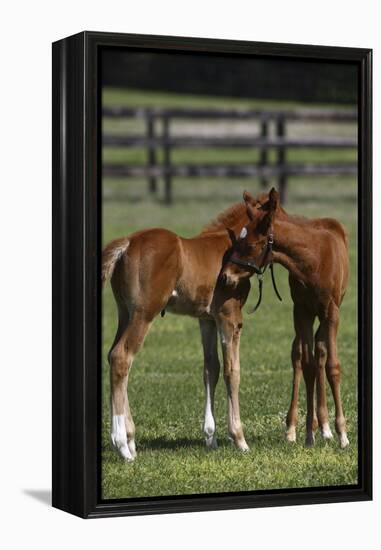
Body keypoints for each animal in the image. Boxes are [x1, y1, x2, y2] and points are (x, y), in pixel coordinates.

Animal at [102, 203, 255, 462]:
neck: (227, 245)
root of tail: (128, 243)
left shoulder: (206, 320)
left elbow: (211, 369)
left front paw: (211, 440)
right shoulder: (230, 318)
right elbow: (232, 371)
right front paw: (240, 440)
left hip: (125, 313)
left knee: (113, 355)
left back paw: (130, 440)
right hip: (144, 313)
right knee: (121, 357)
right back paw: (123, 445)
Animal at [221, 189, 348, 448]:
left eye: (250, 244)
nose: (225, 277)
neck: (313, 260)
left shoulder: (331, 312)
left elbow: (332, 366)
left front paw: (342, 434)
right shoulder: (301, 311)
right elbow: (308, 365)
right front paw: (308, 434)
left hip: (327, 315)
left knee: (322, 352)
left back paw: (327, 427)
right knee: (302, 355)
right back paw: (302, 427)